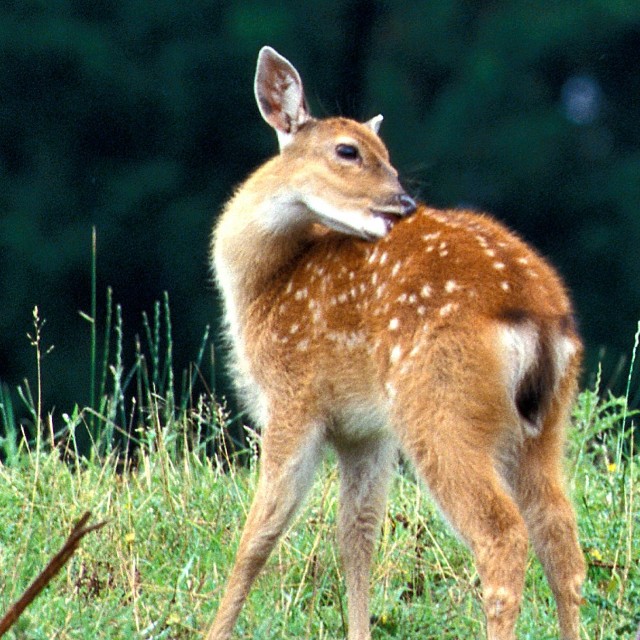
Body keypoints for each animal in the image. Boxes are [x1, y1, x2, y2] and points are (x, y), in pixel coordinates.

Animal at [207, 45, 585, 640]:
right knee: (561, 539)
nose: (404, 201)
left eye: (384, 152)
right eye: (349, 150)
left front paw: (214, 628)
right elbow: (357, 535)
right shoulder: (365, 430)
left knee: (501, 534)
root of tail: (540, 317)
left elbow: (258, 536)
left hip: (438, 404)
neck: (262, 285)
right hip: (545, 425)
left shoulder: (293, 396)